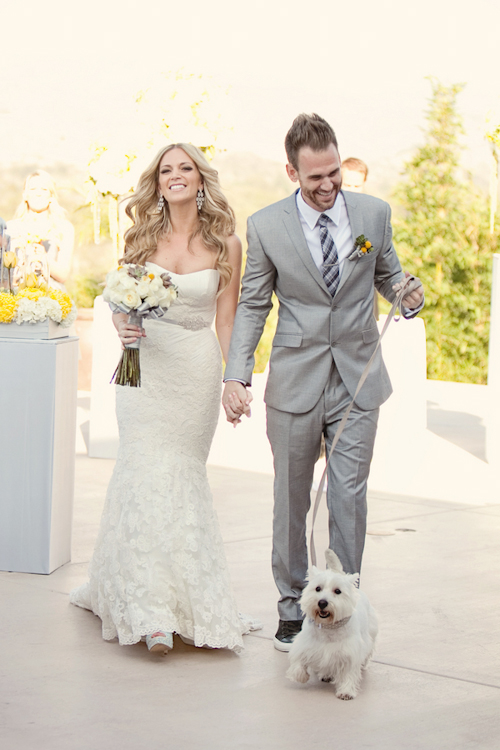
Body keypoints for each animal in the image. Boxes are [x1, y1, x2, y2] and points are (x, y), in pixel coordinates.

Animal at [288, 548, 376, 704]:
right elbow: (298, 659)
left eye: (337, 591)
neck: (328, 627)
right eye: (317, 588)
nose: (322, 602)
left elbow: (349, 673)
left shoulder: (350, 653)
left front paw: (346, 692)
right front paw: (300, 676)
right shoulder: (304, 643)